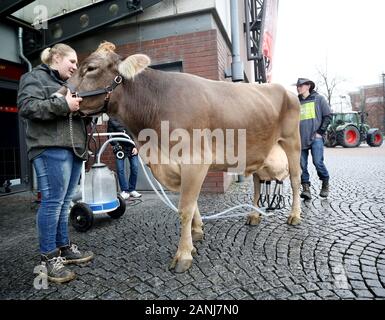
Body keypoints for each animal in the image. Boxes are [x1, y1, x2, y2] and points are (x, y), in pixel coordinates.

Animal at [66, 42, 302, 272]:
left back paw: (295, 216)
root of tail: (284, 89)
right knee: (257, 181)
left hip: (293, 143)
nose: (61, 96)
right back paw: (254, 215)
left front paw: (183, 255)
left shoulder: (195, 160)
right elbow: (192, 203)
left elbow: (185, 208)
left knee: (295, 179)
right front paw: (196, 233)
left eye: (91, 68)